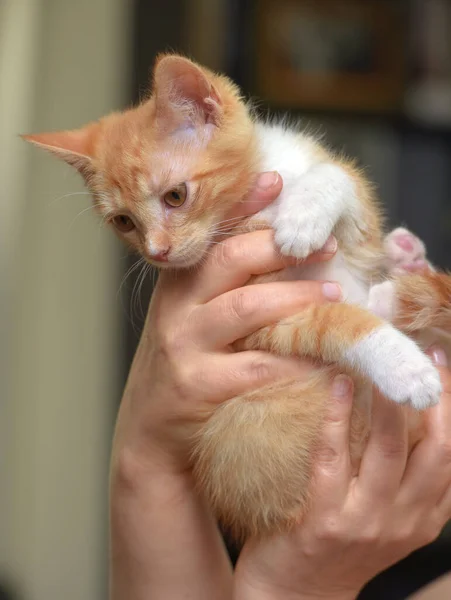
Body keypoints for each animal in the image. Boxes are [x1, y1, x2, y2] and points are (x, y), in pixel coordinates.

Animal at [23, 55, 451, 540]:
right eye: (124, 222)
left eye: (175, 196)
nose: (157, 252)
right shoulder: (267, 316)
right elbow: (337, 323)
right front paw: (407, 369)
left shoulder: (360, 237)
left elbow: (339, 179)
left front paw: (303, 217)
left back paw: (405, 265)